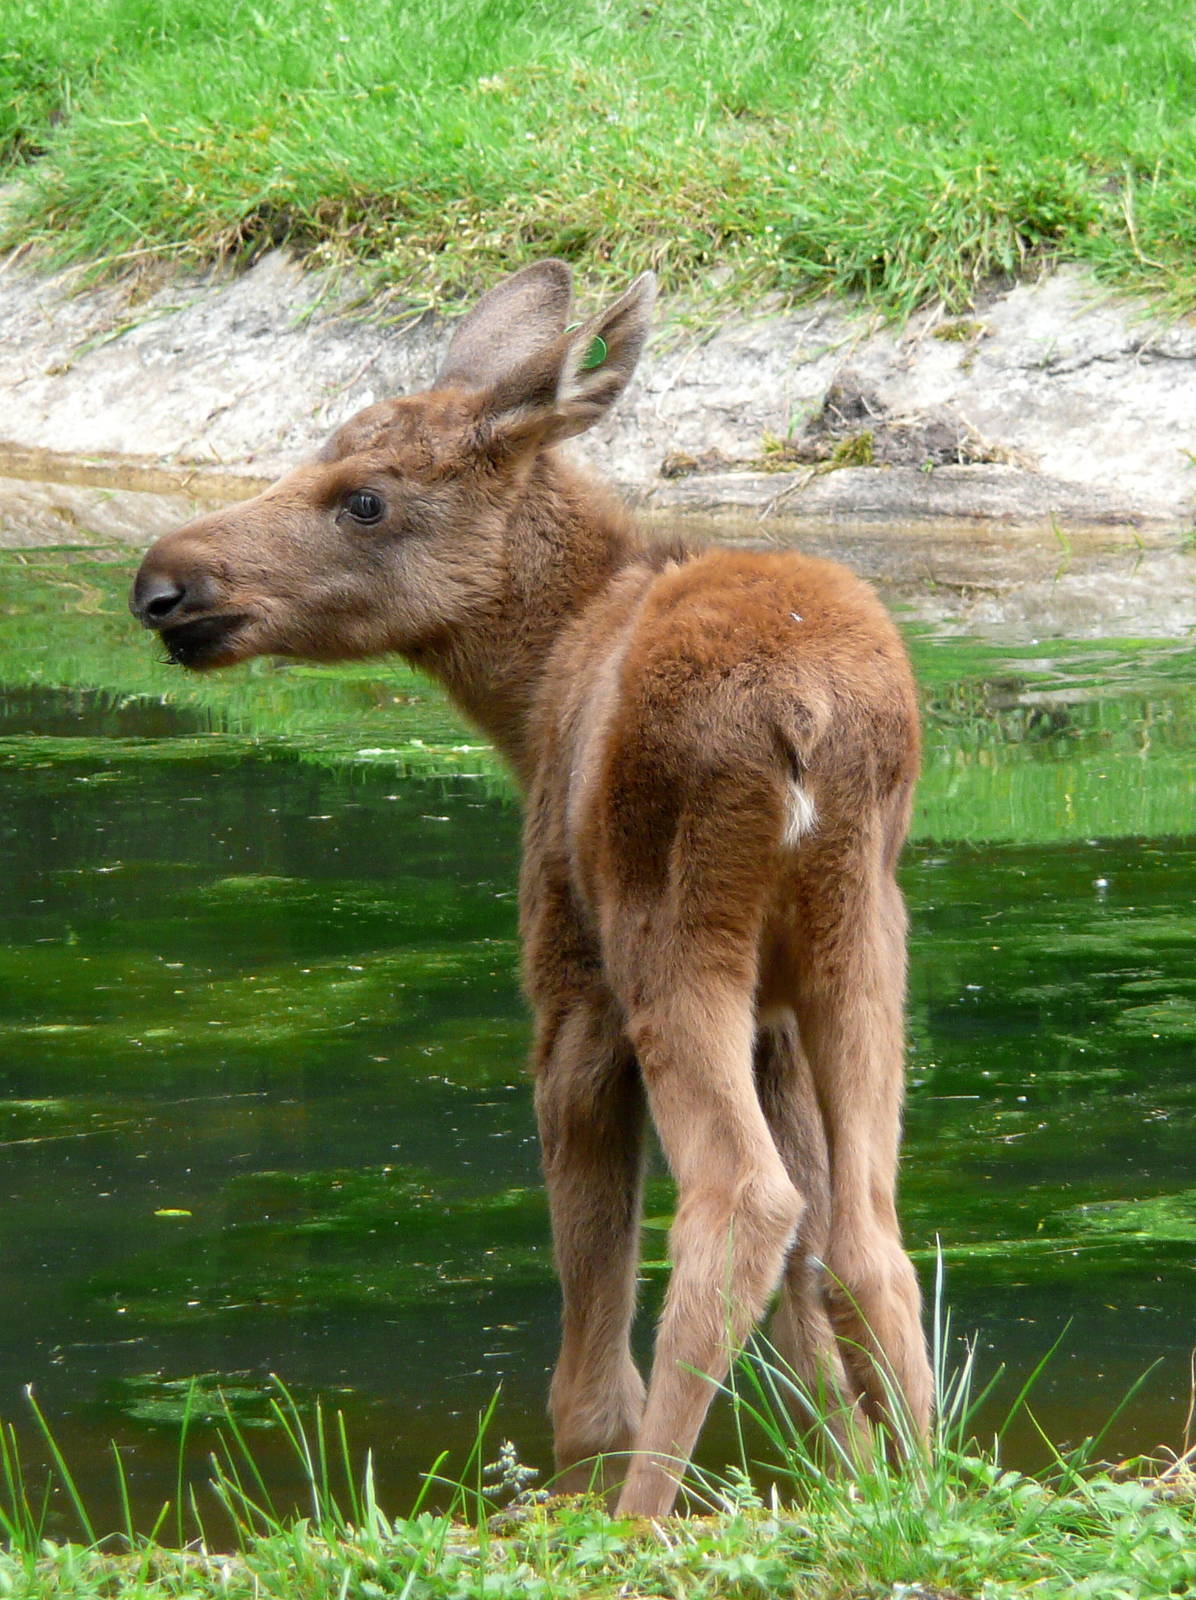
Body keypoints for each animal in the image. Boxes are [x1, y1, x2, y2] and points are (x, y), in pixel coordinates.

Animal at [130, 260, 933, 1518]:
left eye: (364, 498)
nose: (164, 583)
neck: (526, 689)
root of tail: (803, 714)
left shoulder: (568, 984)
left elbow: (591, 1314)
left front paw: (585, 1488)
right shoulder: (776, 1019)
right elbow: (812, 1312)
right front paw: (847, 1480)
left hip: (667, 927)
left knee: (741, 1204)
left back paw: (641, 1520)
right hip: (858, 934)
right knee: (861, 1231)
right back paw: (931, 1488)